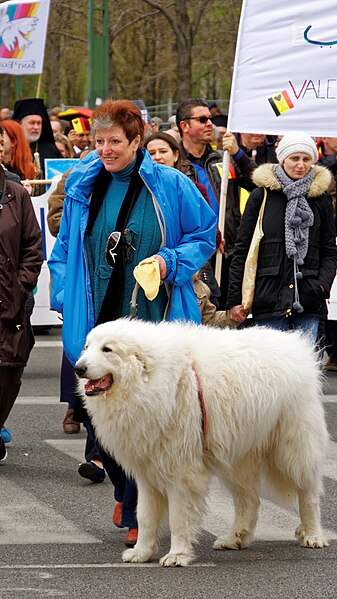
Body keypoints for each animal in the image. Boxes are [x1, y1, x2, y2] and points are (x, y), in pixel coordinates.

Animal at [74, 318, 328, 568]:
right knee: (249, 500)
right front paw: (142, 552)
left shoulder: (181, 473)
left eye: (107, 349)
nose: (78, 368)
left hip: (293, 447)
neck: (148, 380)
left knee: (308, 494)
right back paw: (235, 537)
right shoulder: (147, 473)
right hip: (236, 456)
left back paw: (313, 535)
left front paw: (177, 555)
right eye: (87, 346)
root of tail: (297, 344)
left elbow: (178, 519)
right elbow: (144, 516)